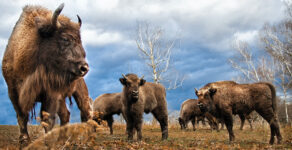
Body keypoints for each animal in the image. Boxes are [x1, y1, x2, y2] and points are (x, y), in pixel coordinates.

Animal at [1, 4, 89, 145]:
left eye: (80, 40)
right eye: (65, 38)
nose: (84, 68)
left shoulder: (50, 94)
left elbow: (47, 119)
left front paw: (46, 142)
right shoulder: (13, 92)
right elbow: (22, 116)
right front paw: (24, 140)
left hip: (79, 92)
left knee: (85, 110)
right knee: (65, 114)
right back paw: (62, 140)